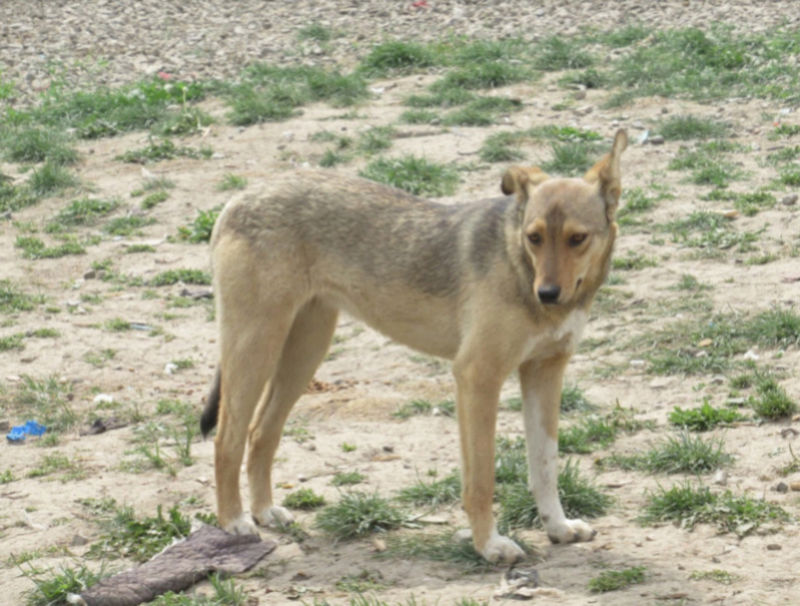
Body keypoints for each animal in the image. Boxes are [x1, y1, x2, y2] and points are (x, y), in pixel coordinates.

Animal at [200, 131, 624, 568]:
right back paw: (234, 520)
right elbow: (482, 480)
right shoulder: (477, 376)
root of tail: (243, 195)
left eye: (577, 238)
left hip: (303, 352)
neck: (517, 262)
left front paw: (558, 527)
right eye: (534, 237)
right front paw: (489, 545)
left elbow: (545, 466)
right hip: (256, 346)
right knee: (226, 439)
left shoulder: (545, 372)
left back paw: (264, 511)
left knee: (260, 432)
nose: (547, 294)